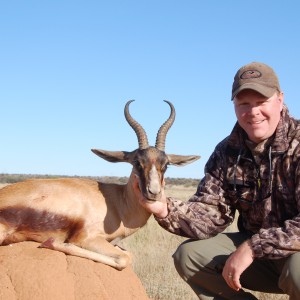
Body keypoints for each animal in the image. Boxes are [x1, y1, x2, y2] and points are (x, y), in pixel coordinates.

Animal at [0, 100, 202, 270]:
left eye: (166, 164)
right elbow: (125, 258)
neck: (117, 204)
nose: (153, 192)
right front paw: (53, 242)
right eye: (137, 162)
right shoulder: (87, 238)